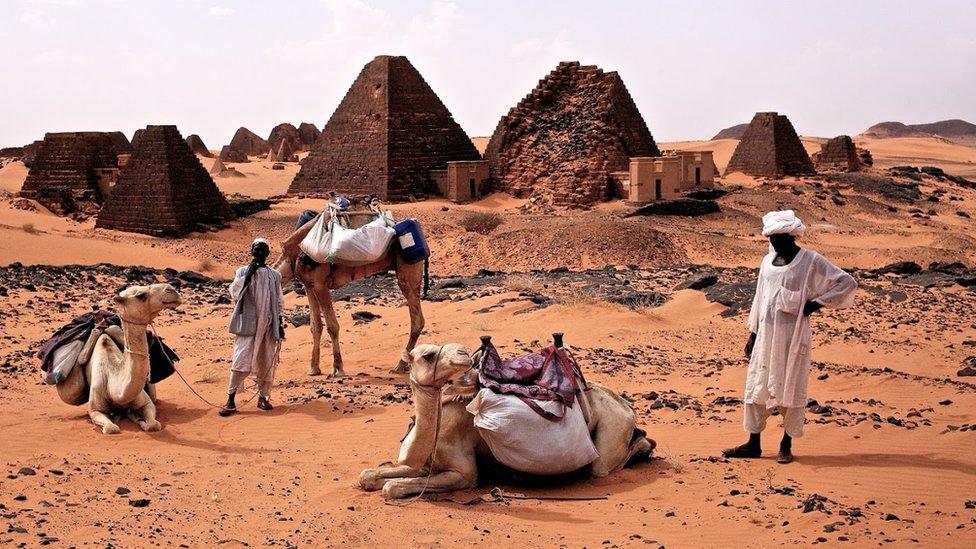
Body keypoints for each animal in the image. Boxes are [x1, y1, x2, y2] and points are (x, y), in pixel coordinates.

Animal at [55, 282, 182, 432]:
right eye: (141, 296)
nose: (172, 290)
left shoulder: (147, 403)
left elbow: (153, 424)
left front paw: (136, 418)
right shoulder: (94, 409)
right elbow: (111, 428)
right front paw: (121, 417)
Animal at [276, 210, 426, 376]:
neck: (293, 256)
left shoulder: (321, 284)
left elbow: (332, 326)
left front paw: (337, 368)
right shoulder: (309, 286)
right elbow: (315, 327)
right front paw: (314, 369)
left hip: (408, 271)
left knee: (417, 320)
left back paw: (400, 366)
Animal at [358, 340, 656, 498]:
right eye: (428, 355)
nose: (463, 352)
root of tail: (626, 407)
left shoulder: (464, 474)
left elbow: (392, 487)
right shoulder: (425, 464)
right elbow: (368, 476)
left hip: (611, 429)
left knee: (605, 465)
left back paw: (644, 446)